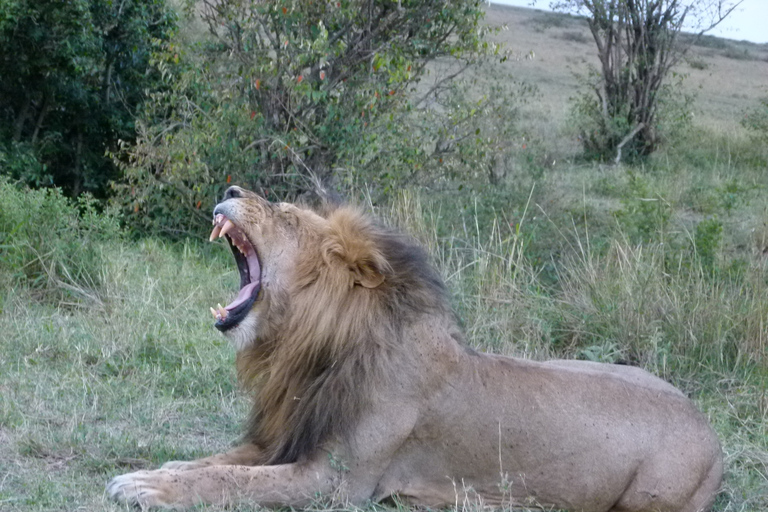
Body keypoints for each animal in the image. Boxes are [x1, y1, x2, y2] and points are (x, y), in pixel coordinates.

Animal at [106, 187, 720, 512]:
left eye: (286, 214)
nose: (232, 191)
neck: (309, 351)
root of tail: (711, 434)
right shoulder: (286, 438)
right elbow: (216, 462)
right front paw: (161, 470)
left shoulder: (336, 483)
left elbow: (233, 479)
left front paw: (146, 487)